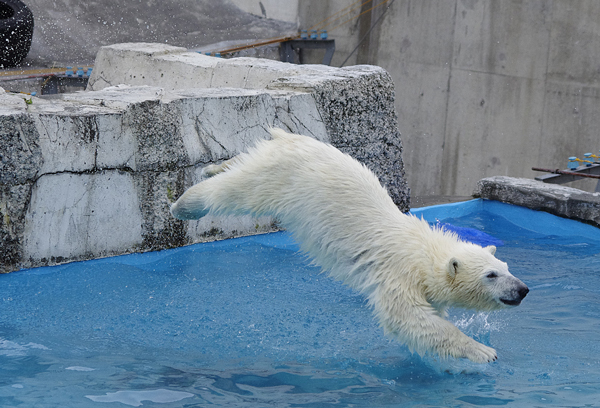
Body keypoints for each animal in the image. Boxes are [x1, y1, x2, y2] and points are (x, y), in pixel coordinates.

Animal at [171, 128, 528, 364]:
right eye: (491, 275)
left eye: (507, 268)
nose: (523, 289)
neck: (424, 248)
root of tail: (289, 137)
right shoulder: (399, 274)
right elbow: (409, 318)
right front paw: (483, 351)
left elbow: (425, 322)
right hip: (283, 180)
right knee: (236, 189)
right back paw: (184, 204)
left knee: (241, 164)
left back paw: (213, 166)